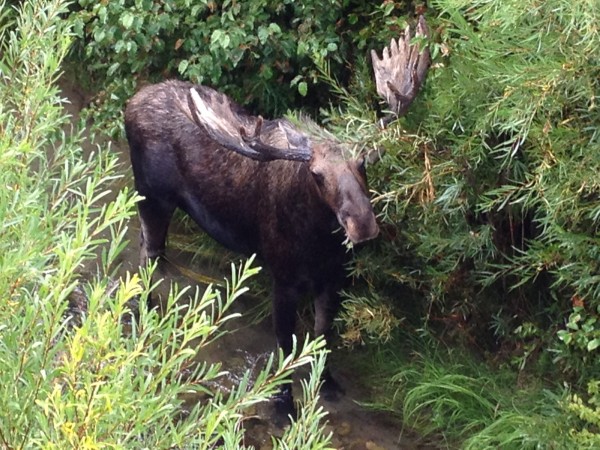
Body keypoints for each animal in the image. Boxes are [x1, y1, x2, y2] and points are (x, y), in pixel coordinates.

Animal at [124, 15, 428, 418]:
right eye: (316, 174)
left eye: (363, 161)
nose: (362, 225)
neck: (320, 243)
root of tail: (129, 104)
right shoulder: (283, 278)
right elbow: (285, 345)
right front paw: (284, 405)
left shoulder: (335, 277)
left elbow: (323, 336)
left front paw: (327, 384)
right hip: (152, 196)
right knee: (148, 254)